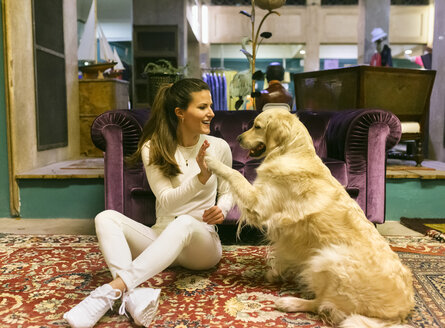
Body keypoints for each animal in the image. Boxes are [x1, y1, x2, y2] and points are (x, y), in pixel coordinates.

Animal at [205, 107, 412, 328]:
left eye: (257, 126)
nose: (238, 138)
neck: (291, 151)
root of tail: (401, 311)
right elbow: (286, 254)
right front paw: (275, 272)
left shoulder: (258, 204)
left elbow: (235, 173)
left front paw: (211, 160)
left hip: (327, 258)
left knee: (322, 304)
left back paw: (288, 302)